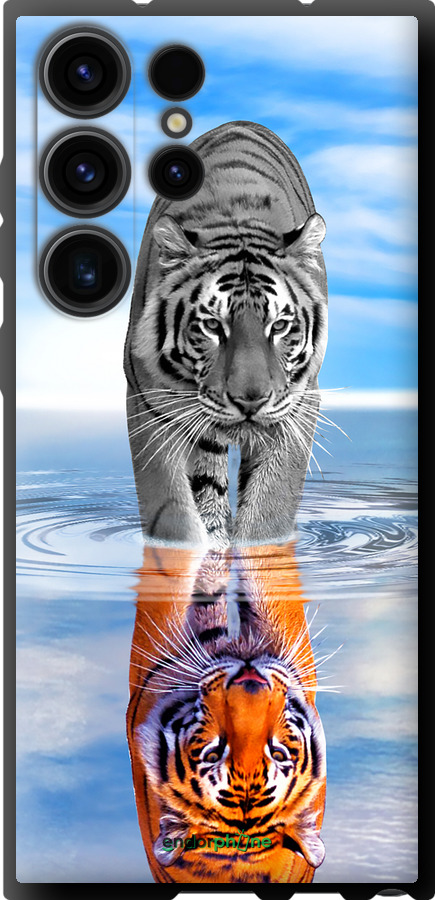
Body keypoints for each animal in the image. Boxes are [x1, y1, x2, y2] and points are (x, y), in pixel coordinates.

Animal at [124, 121, 328, 549]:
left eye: (279, 326)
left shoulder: (299, 404)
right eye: (212, 326)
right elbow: (172, 512)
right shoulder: (148, 401)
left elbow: (270, 509)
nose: (250, 401)